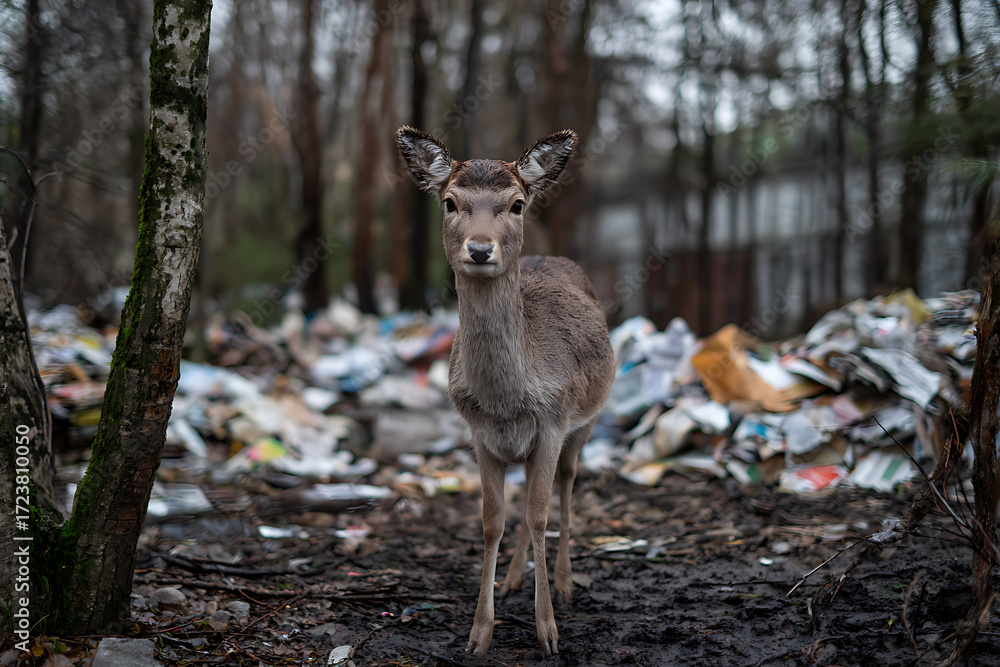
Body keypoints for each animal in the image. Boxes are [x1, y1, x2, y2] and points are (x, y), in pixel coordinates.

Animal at [396, 126, 615, 656]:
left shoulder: (554, 422)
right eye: (450, 201)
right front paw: (479, 634)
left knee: (566, 486)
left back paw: (564, 582)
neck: (504, 400)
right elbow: (493, 520)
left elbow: (538, 515)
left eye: (516, 204)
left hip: (586, 423)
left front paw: (548, 632)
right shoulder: (479, 433)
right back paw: (516, 578)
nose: (479, 249)